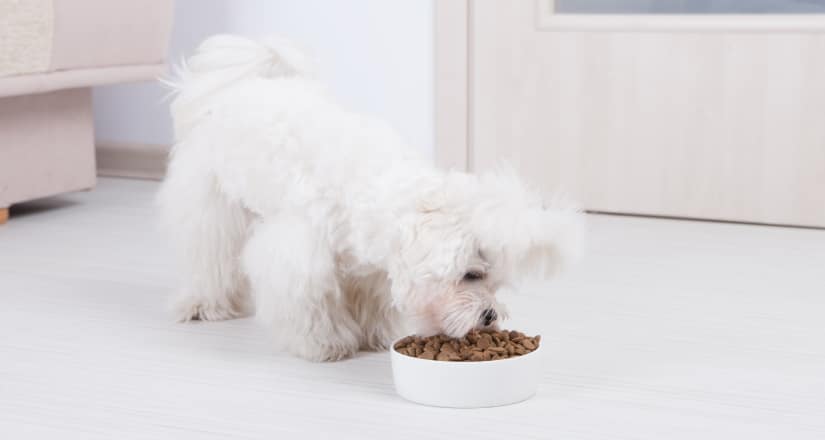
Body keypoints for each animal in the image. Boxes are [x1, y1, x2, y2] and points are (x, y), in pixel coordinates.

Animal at [154, 36, 580, 360]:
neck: (377, 190)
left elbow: (370, 302)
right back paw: (204, 305)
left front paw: (372, 337)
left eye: (497, 283)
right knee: (209, 257)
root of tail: (243, 85)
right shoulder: (300, 258)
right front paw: (327, 344)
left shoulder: (370, 269)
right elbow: (311, 303)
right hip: (211, 204)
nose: (491, 315)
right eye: (471, 275)